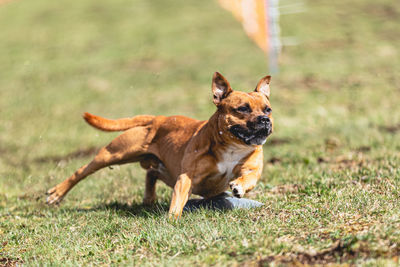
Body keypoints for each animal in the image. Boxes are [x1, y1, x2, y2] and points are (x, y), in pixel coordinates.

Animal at [46, 72, 272, 219]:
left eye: (268, 109)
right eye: (242, 109)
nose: (265, 120)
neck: (232, 146)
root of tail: (158, 119)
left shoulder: (252, 168)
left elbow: (249, 178)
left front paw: (239, 187)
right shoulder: (186, 177)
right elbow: (178, 199)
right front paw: (172, 219)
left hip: (162, 169)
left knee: (151, 172)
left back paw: (149, 198)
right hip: (114, 154)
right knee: (82, 171)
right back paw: (56, 194)